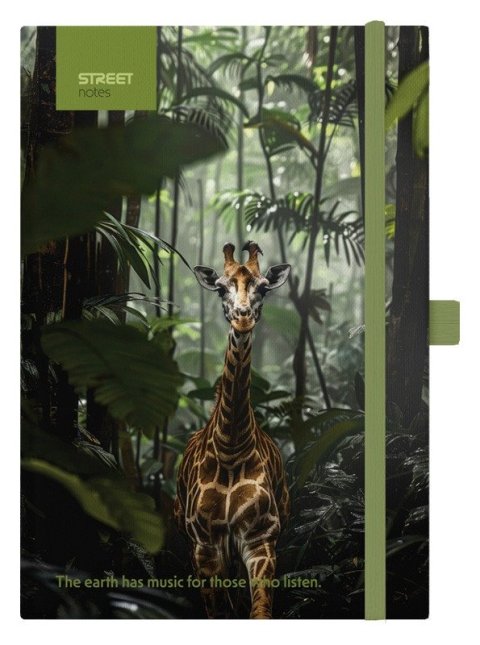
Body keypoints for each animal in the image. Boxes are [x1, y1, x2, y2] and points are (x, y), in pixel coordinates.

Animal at [174, 241, 291, 619]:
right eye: (221, 288)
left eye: (263, 288)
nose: (242, 317)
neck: (230, 446)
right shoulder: (204, 545)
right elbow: (220, 612)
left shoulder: (260, 538)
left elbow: (258, 612)